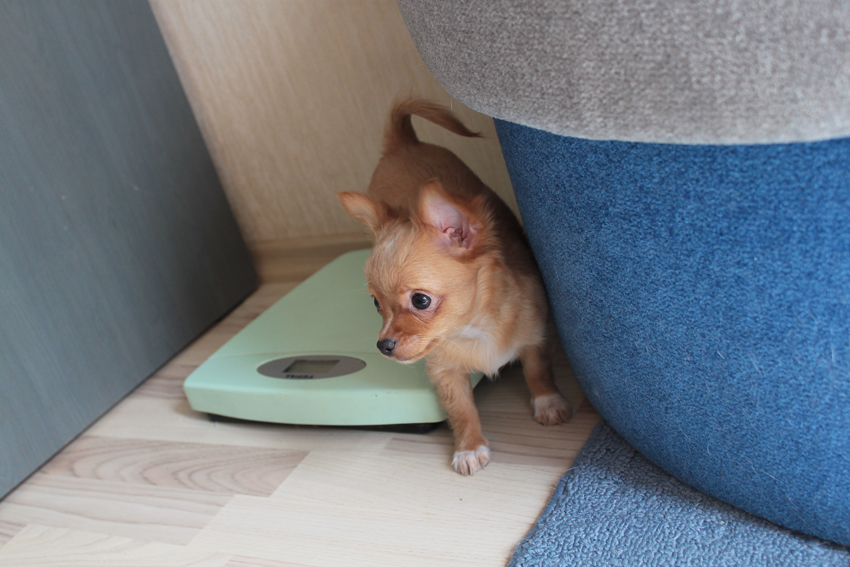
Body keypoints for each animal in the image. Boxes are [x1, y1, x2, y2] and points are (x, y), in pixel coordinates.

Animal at [337, 99, 571, 475]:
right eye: (375, 304)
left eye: (420, 301)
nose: (382, 345)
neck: (471, 330)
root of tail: (403, 143)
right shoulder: (444, 372)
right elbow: (461, 410)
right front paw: (469, 447)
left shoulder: (535, 336)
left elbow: (538, 370)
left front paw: (548, 402)